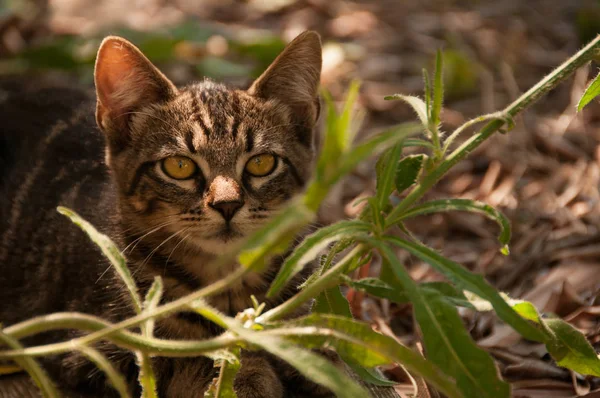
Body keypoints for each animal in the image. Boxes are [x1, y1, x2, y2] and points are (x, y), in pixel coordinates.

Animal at [0, 31, 332, 398]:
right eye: (179, 166)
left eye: (262, 163)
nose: (227, 204)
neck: (225, 282)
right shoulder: (90, 349)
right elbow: (185, 357)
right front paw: (247, 375)